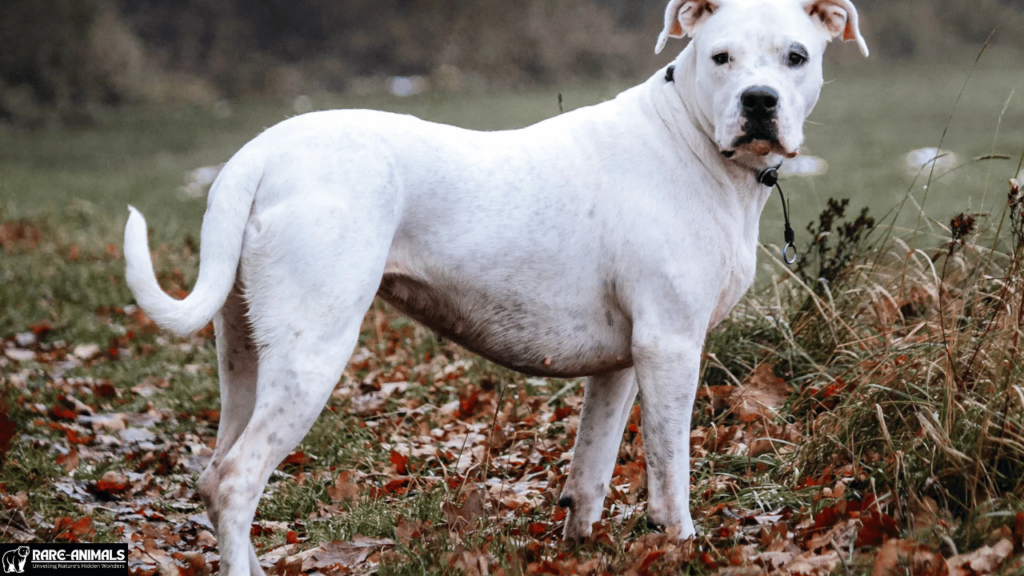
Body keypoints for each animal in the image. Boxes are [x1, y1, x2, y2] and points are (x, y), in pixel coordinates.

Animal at [123, 2, 868, 569]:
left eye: (795, 57)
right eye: (721, 58)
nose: (759, 102)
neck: (692, 138)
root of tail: (260, 153)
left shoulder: (624, 364)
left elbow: (591, 474)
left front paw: (579, 547)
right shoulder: (672, 348)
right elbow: (668, 471)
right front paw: (680, 544)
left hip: (246, 356)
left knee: (216, 473)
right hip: (313, 352)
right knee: (236, 481)